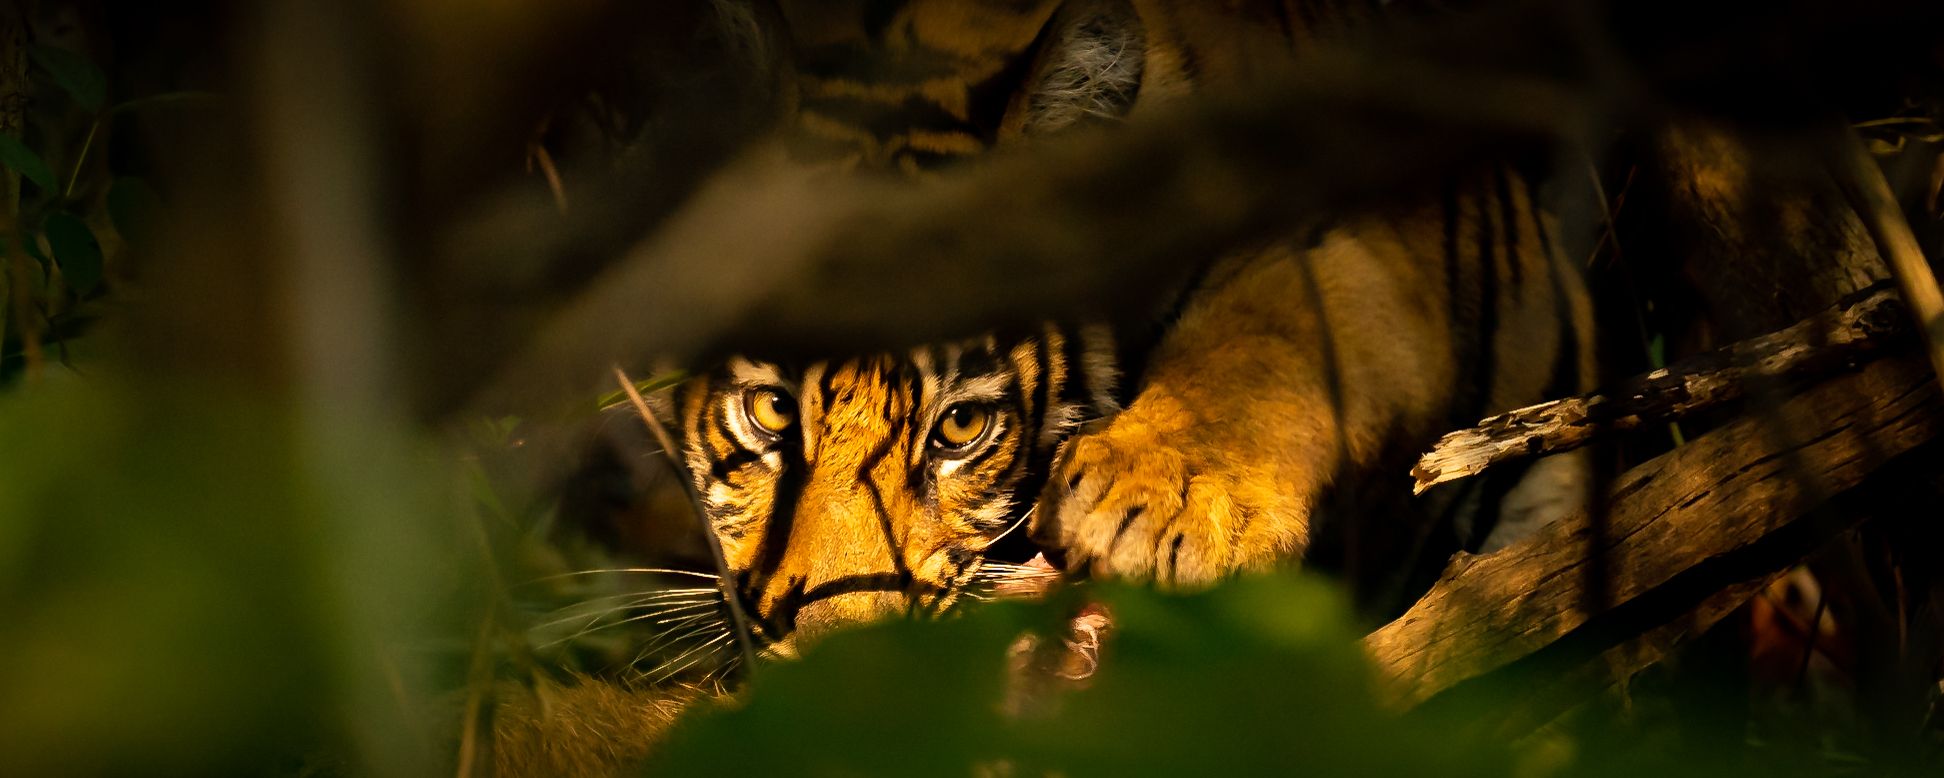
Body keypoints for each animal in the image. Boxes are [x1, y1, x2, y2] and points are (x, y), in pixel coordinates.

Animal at [493, 0, 1594, 773]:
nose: (848, 663)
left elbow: (1266, 332)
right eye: (770, 410)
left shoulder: (1354, 236)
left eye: (960, 428)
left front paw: (1171, 503)